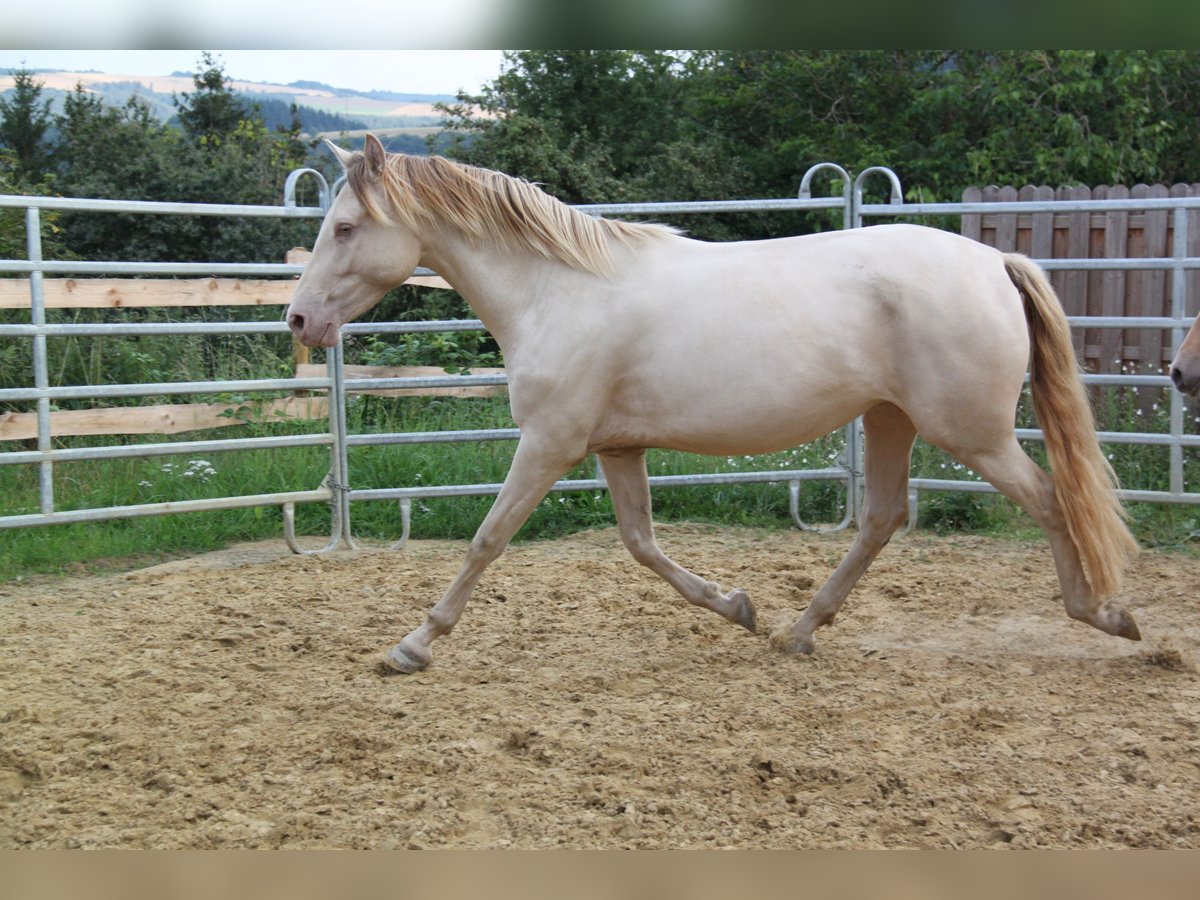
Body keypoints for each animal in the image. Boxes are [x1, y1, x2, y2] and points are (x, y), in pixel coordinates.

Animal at [285, 130, 1137, 672]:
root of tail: (997, 261)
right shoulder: (615, 447)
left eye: (347, 227)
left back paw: (1107, 615)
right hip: (891, 419)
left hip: (972, 433)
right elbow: (642, 545)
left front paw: (411, 646)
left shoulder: (550, 442)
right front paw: (737, 606)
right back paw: (797, 632)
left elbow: (487, 540)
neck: (556, 291)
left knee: (1050, 500)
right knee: (883, 518)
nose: (298, 321)